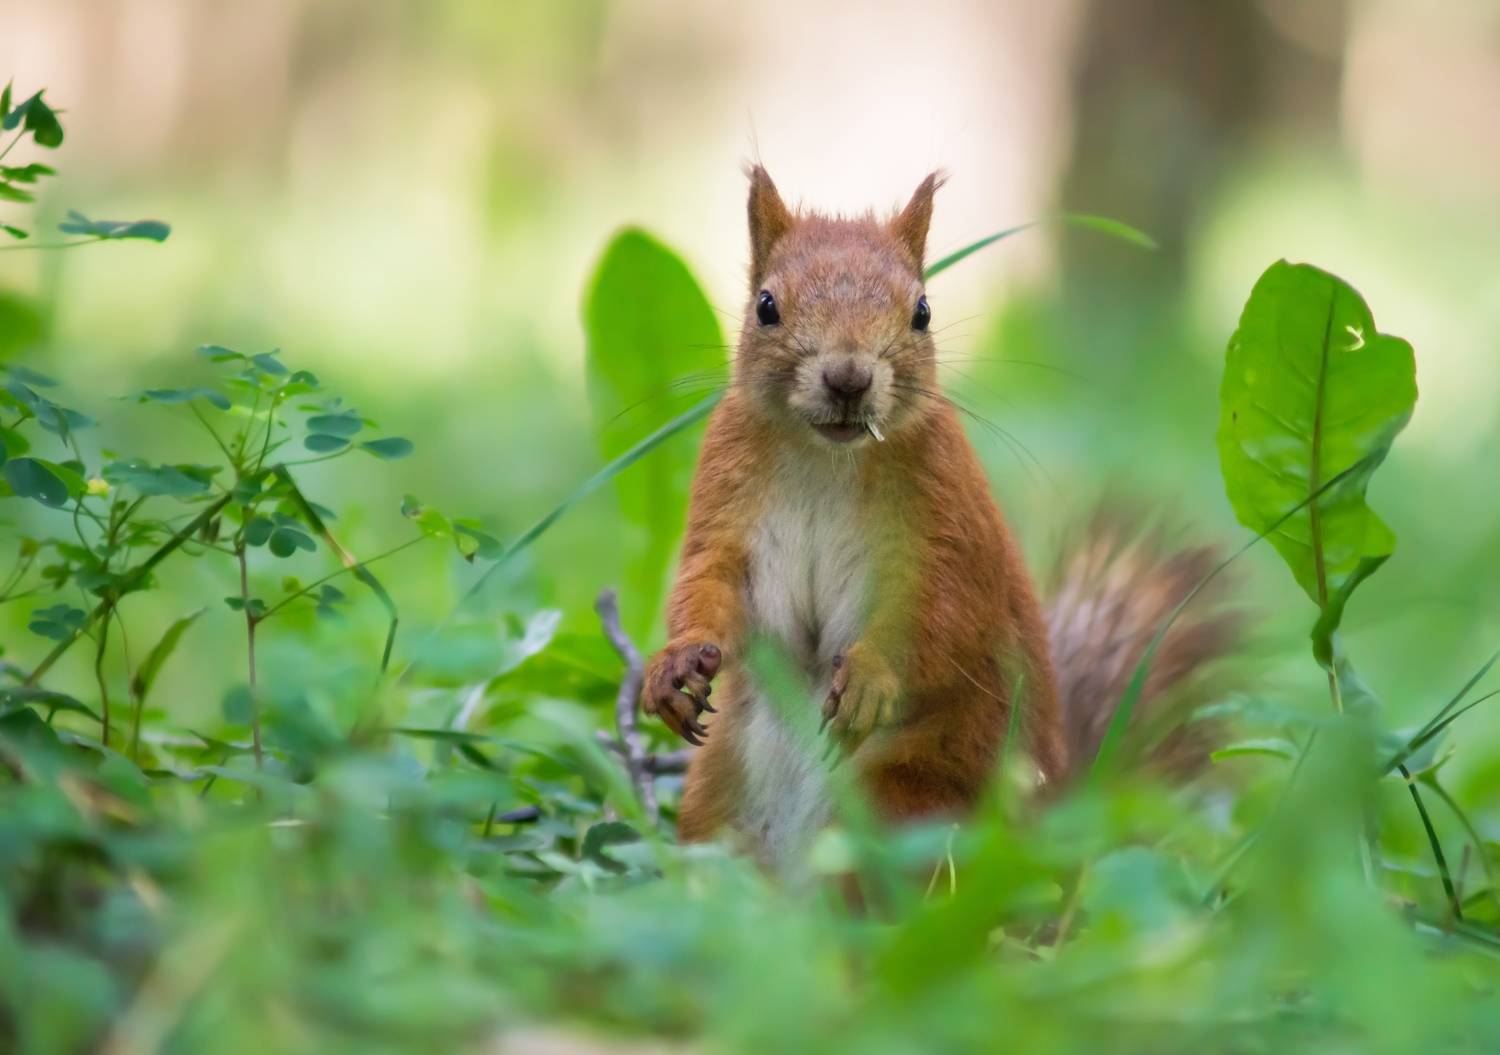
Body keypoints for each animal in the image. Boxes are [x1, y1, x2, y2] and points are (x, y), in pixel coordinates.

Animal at [640, 167, 1237, 869]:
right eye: (765, 306)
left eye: (922, 312)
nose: (849, 378)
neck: (826, 457)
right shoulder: (725, 492)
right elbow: (709, 583)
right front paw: (674, 666)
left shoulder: (949, 511)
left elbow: (944, 614)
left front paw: (871, 678)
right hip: (716, 798)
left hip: (909, 801)